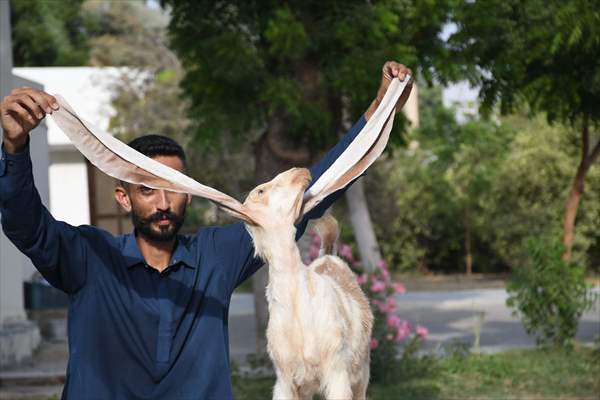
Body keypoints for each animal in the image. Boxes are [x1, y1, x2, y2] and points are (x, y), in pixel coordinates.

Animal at [225, 167, 376, 400]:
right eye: (260, 191)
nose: (300, 171)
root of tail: (329, 256)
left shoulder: (337, 374)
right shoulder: (287, 381)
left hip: (361, 374)